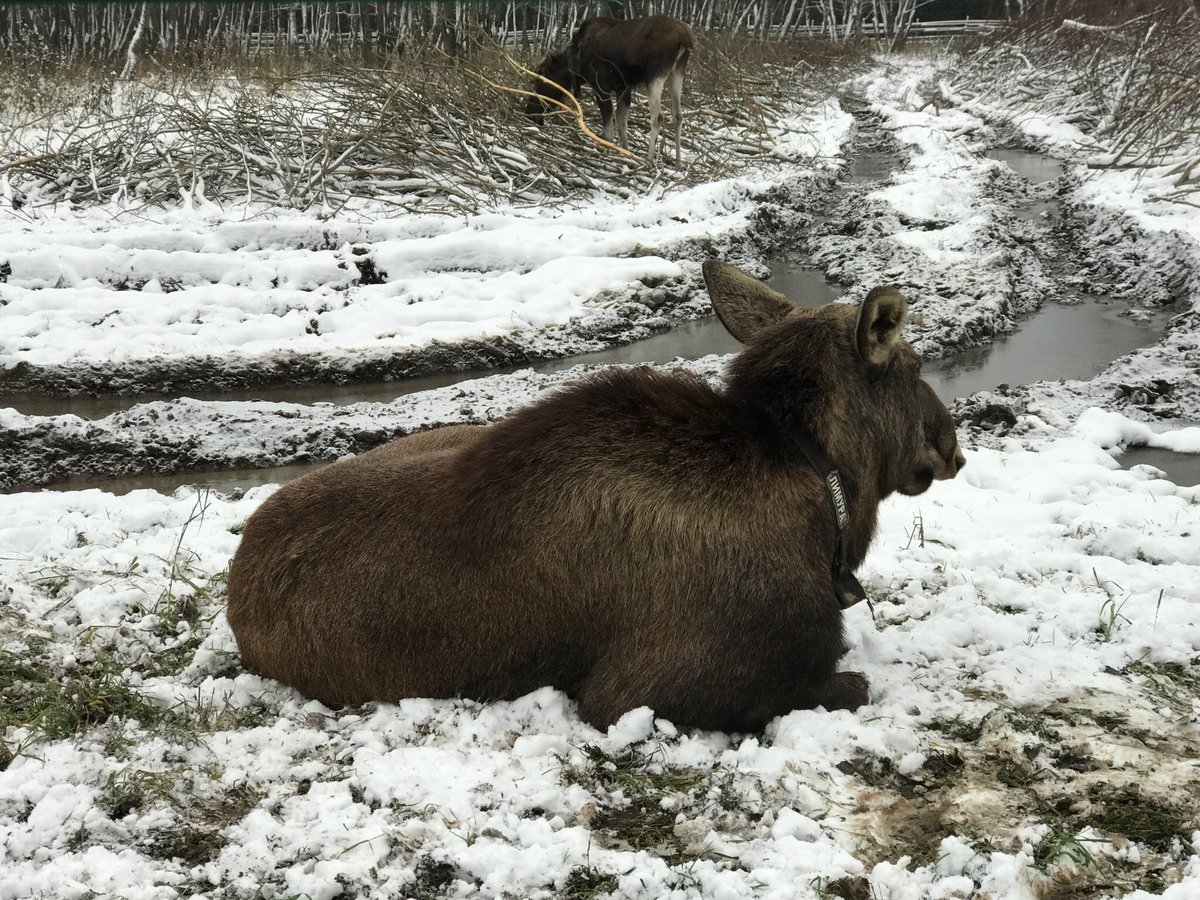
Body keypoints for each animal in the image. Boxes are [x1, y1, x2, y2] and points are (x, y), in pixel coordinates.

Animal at [226, 259, 964, 734]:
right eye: (913, 364)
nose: (952, 445)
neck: (823, 498)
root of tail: (234, 588)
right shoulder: (637, 690)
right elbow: (844, 685)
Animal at [528, 13, 696, 164]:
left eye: (538, 81)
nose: (529, 112)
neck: (576, 67)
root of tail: (685, 37)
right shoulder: (623, 88)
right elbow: (621, 123)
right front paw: (625, 153)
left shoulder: (601, 87)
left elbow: (608, 131)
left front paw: (609, 154)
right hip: (678, 70)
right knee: (678, 115)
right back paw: (679, 164)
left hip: (655, 74)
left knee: (658, 116)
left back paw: (649, 161)